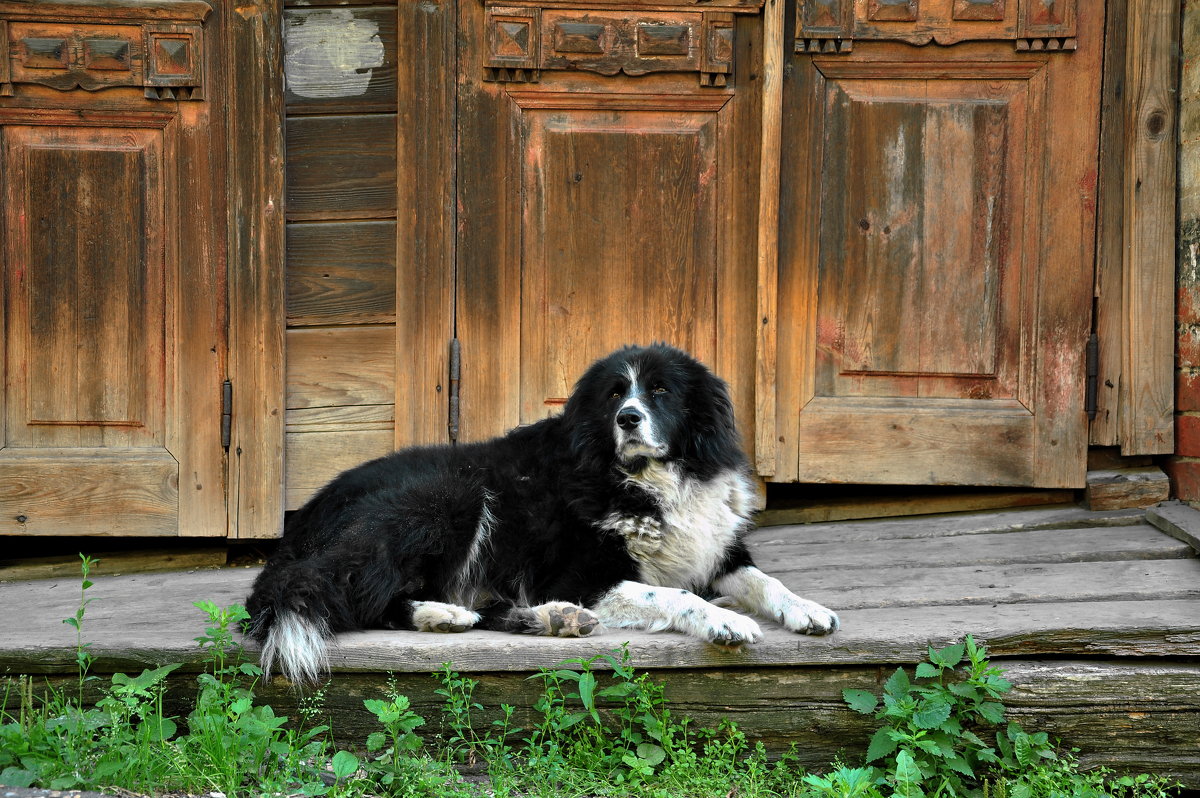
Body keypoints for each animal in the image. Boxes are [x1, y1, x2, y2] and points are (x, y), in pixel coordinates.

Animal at [248, 338, 840, 681]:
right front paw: (723, 621)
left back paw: (541, 618)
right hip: (446, 498)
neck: (644, 479)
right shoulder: (585, 577)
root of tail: (303, 520)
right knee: (351, 596)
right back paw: (451, 615)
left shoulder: (715, 549)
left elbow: (765, 580)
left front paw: (807, 610)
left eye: (661, 390)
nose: (628, 418)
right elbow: (671, 594)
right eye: (614, 395)